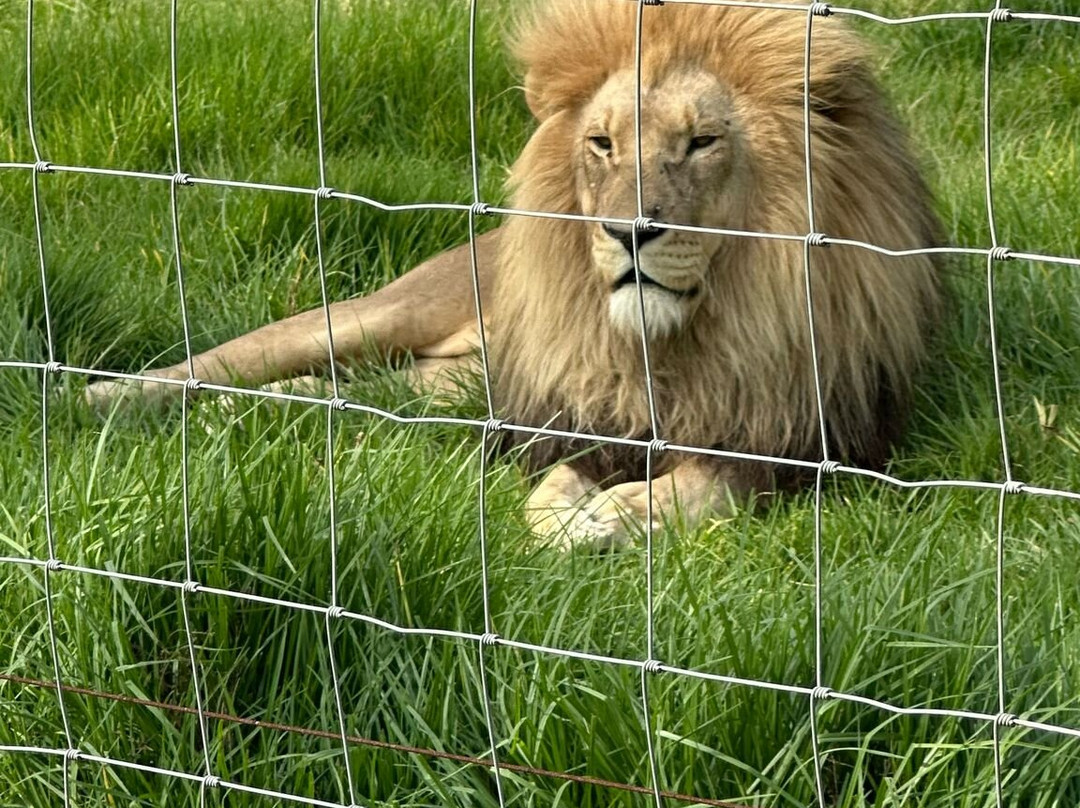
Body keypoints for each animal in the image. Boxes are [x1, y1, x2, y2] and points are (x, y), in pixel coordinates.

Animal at [85, 1, 942, 549]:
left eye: (701, 142)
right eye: (602, 143)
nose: (628, 233)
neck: (668, 346)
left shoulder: (806, 446)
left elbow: (702, 487)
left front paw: (619, 513)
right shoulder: (564, 417)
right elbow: (558, 481)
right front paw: (571, 517)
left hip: (442, 386)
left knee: (341, 394)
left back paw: (249, 417)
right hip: (389, 314)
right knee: (227, 361)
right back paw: (95, 398)